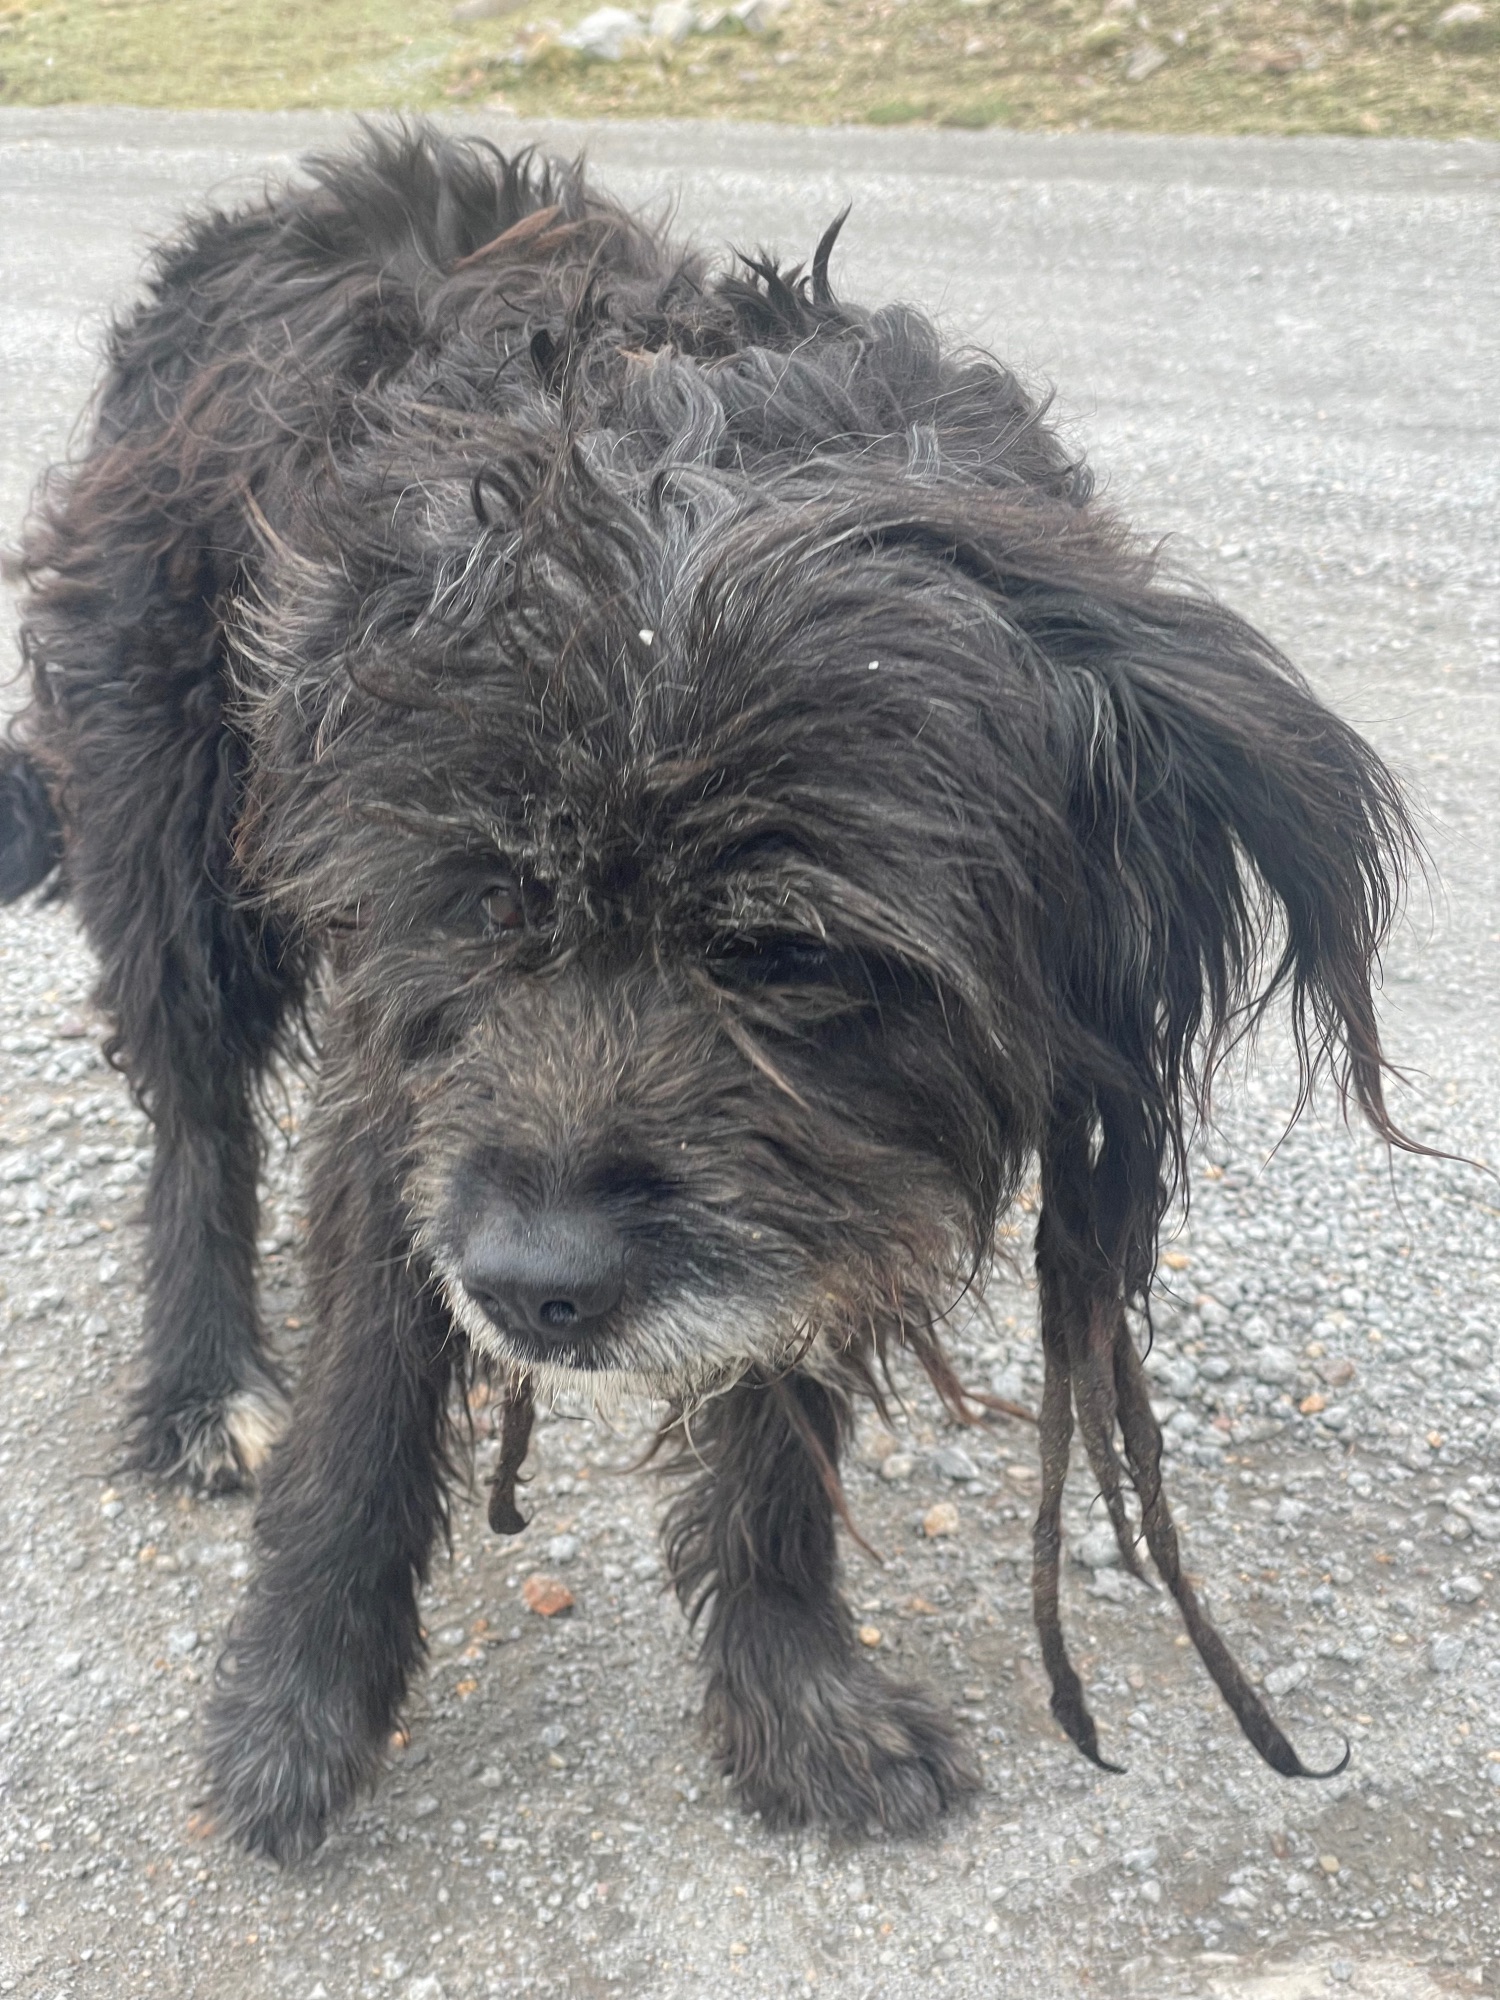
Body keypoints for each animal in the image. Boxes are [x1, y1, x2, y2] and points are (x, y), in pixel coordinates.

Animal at [0, 124, 1416, 1864]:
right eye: (490, 897)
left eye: (789, 951)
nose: (531, 1289)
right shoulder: (412, 1070)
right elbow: (367, 1392)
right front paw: (297, 1708)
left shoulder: (837, 1164)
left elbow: (776, 1419)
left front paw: (795, 1705)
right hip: (172, 826)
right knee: (199, 1117)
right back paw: (205, 1387)